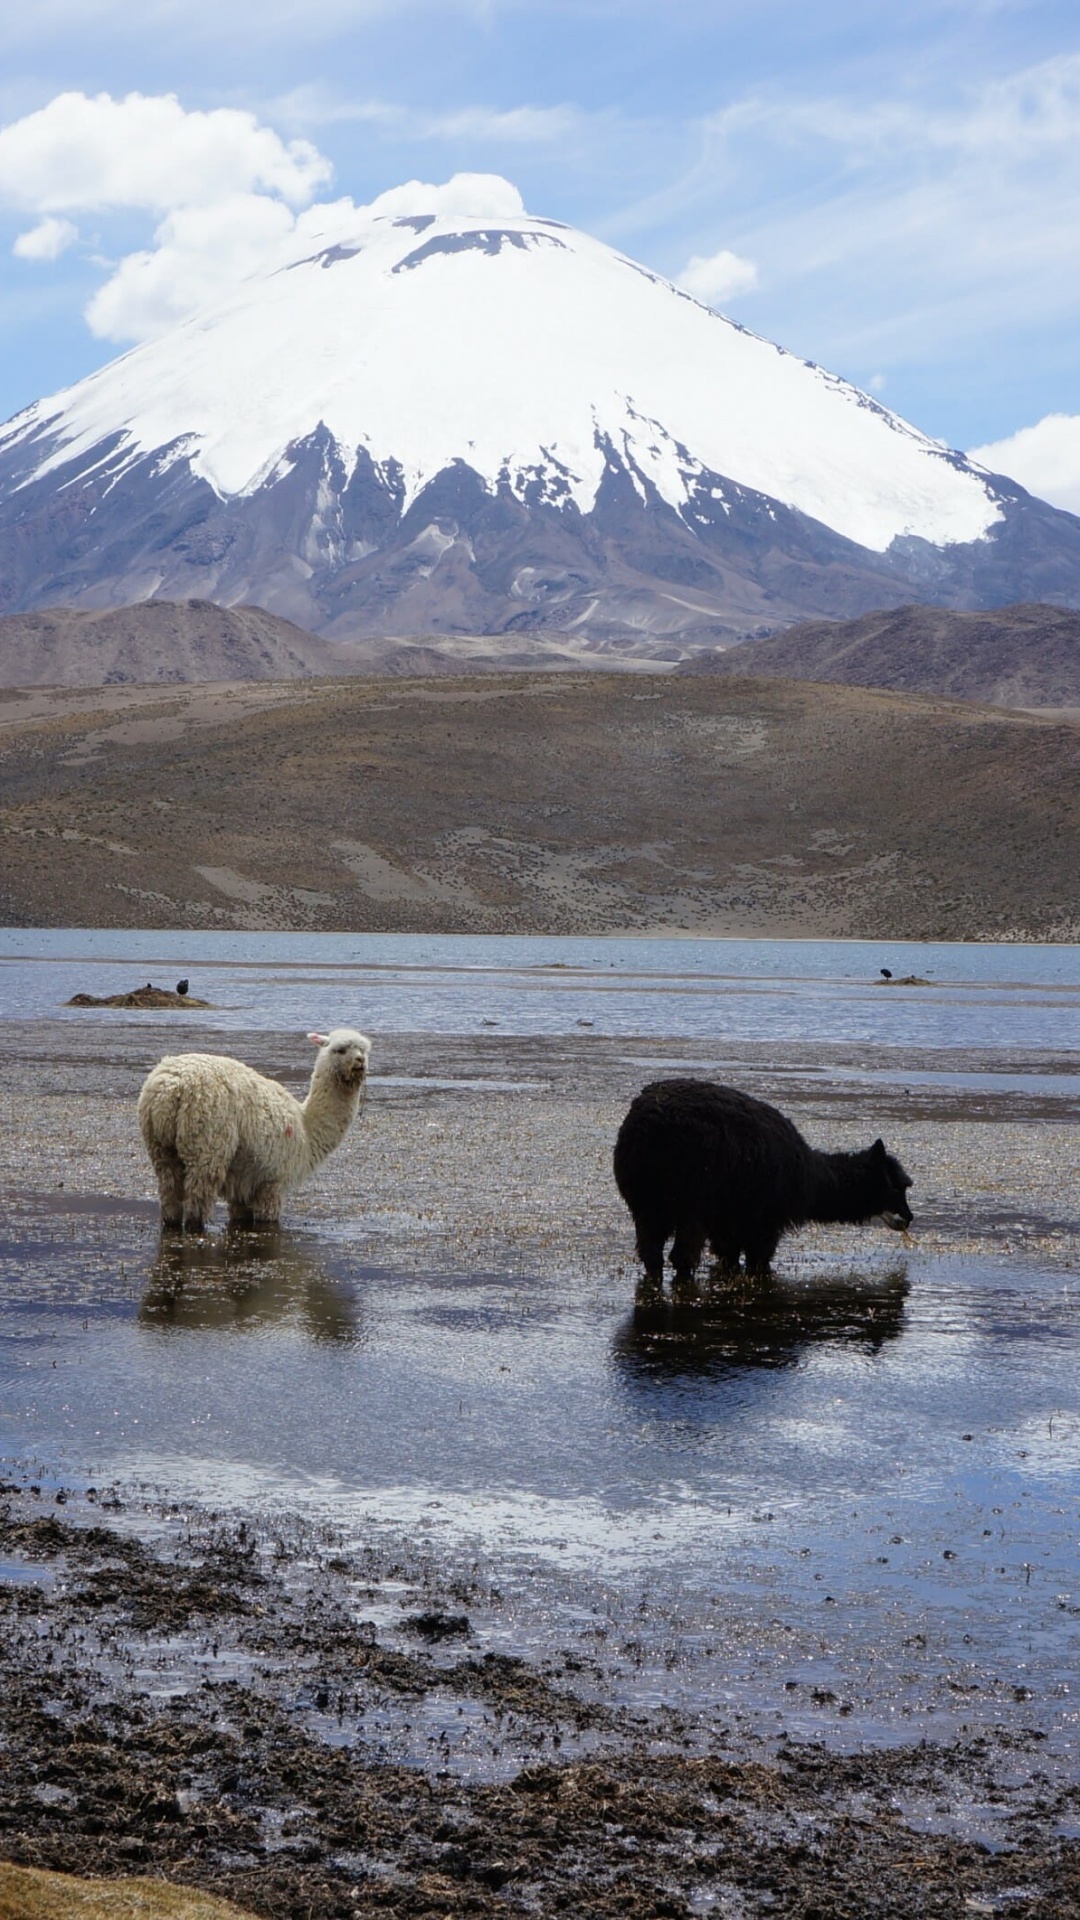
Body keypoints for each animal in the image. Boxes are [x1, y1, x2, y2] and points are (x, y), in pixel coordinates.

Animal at [138, 1028, 371, 1232]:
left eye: (363, 1050)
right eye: (340, 1050)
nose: (360, 1061)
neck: (305, 1129)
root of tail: (170, 1088)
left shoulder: (243, 1183)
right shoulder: (273, 1180)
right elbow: (267, 1221)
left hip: (160, 1147)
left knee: (169, 1198)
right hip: (207, 1142)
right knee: (197, 1203)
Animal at [613, 1078, 913, 1289]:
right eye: (897, 1187)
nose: (908, 1217)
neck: (813, 1179)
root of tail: (647, 1127)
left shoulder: (730, 1220)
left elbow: (728, 1254)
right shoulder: (764, 1218)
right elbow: (759, 1258)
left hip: (647, 1198)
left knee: (651, 1251)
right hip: (693, 1195)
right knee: (682, 1254)